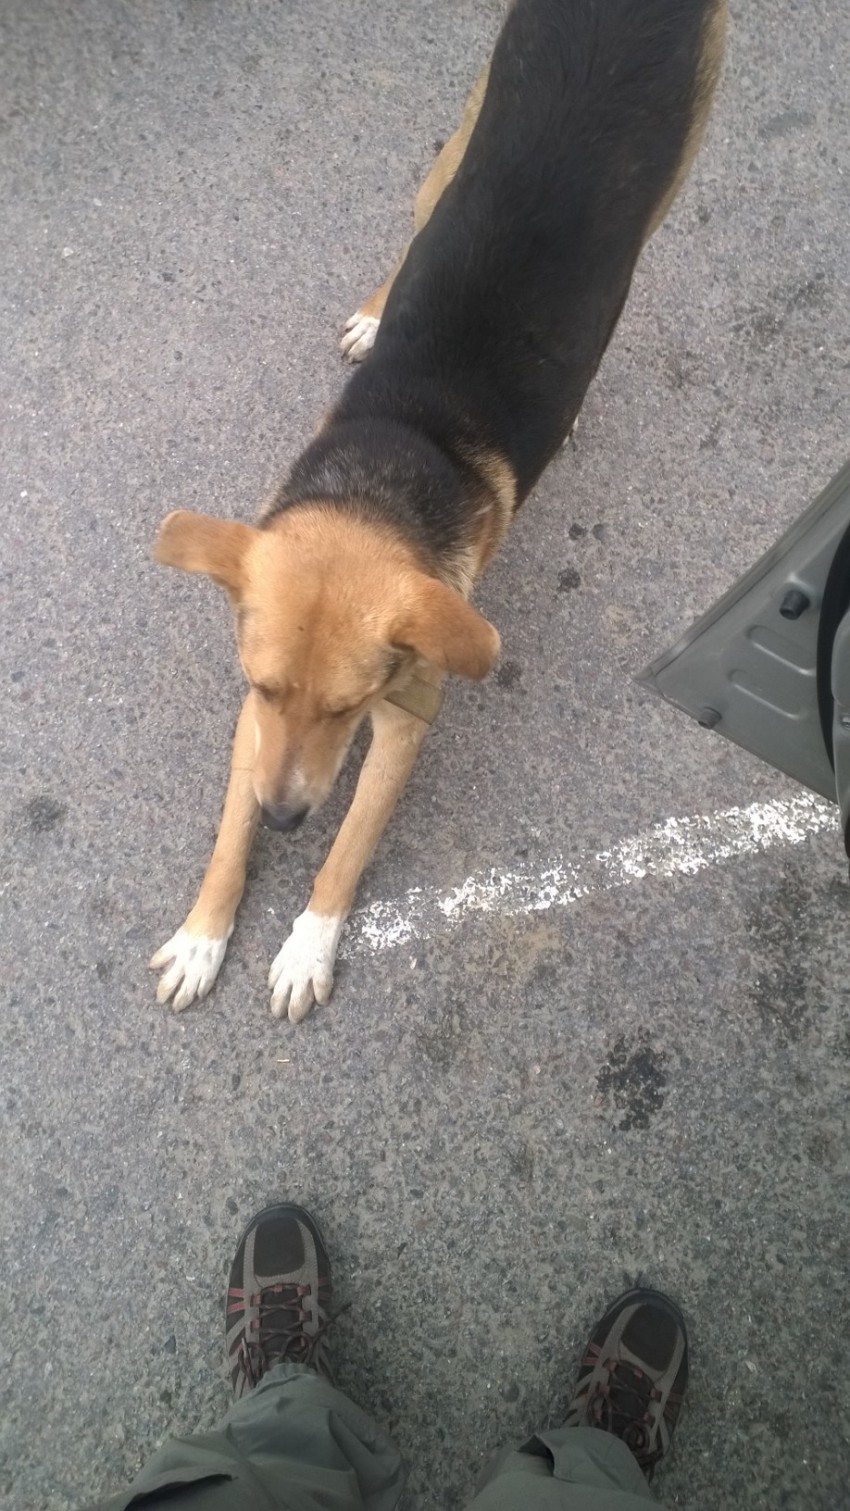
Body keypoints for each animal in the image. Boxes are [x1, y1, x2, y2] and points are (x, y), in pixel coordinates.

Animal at [151, 0, 726, 1021]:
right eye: (263, 687)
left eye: (352, 706)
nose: (283, 818)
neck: (382, 477)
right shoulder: (254, 717)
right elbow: (225, 835)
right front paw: (204, 933)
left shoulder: (405, 720)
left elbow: (347, 851)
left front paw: (308, 942)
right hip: (457, 148)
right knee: (421, 222)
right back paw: (382, 314)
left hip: (660, 193)